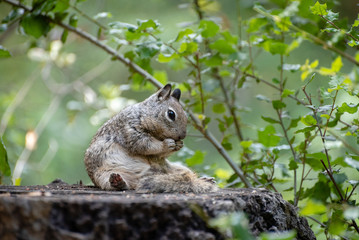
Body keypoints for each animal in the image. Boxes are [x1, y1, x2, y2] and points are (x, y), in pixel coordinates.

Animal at [85, 84, 219, 193]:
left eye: (186, 116)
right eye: (171, 114)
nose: (182, 136)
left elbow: (156, 154)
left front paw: (179, 145)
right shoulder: (131, 131)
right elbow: (145, 145)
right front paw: (167, 144)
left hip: (177, 168)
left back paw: (206, 179)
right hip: (103, 175)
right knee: (119, 184)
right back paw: (117, 181)